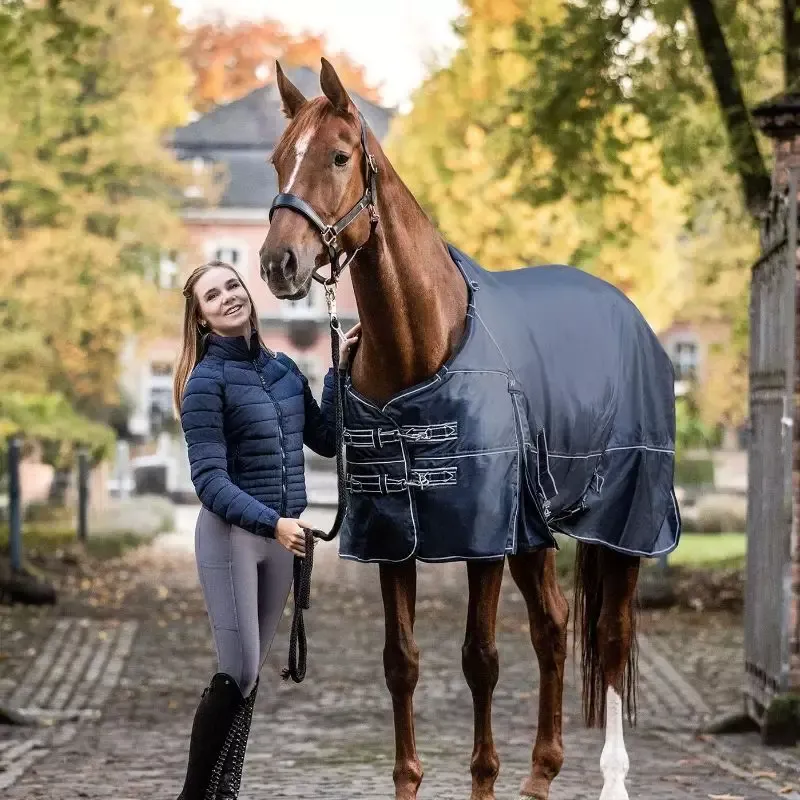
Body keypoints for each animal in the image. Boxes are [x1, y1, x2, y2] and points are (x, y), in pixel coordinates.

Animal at [259, 59, 679, 800]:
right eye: (280, 159)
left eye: (338, 156)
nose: (279, 263)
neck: (418, 350)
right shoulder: (395, 540)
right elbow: (400, 661)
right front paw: (407, 781)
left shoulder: (484, 535)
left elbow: (479, 659)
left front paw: (482, 777)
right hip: (533, 529)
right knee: (553, 626)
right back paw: (542, 772)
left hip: (624, 523)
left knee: (610, 637)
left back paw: (611, 777)